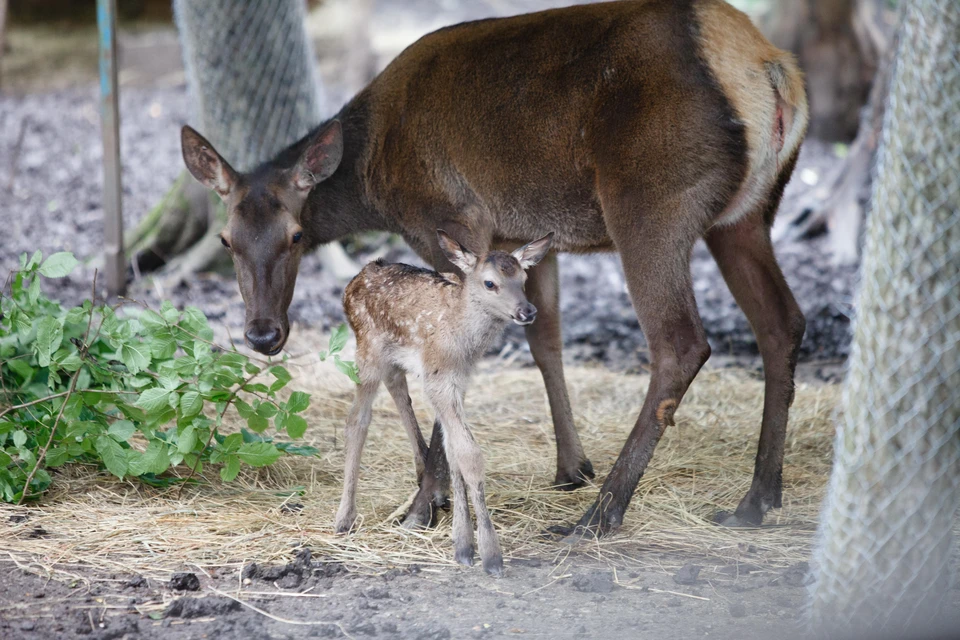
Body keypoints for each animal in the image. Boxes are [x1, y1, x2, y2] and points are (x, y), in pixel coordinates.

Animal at [178, 0, 804, 536]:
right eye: (226, 240)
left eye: (297, 235)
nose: (263, 334)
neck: (374, 176)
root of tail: (769, 69)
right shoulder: (521, 235)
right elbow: (545, 339)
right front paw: (571, 466)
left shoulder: (453, 218)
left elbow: (447, 348)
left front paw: (425, 504)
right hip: (746, 217)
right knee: (783, 322)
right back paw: (756, 498)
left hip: (651, 201)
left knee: (681, 342)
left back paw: (601, 515)